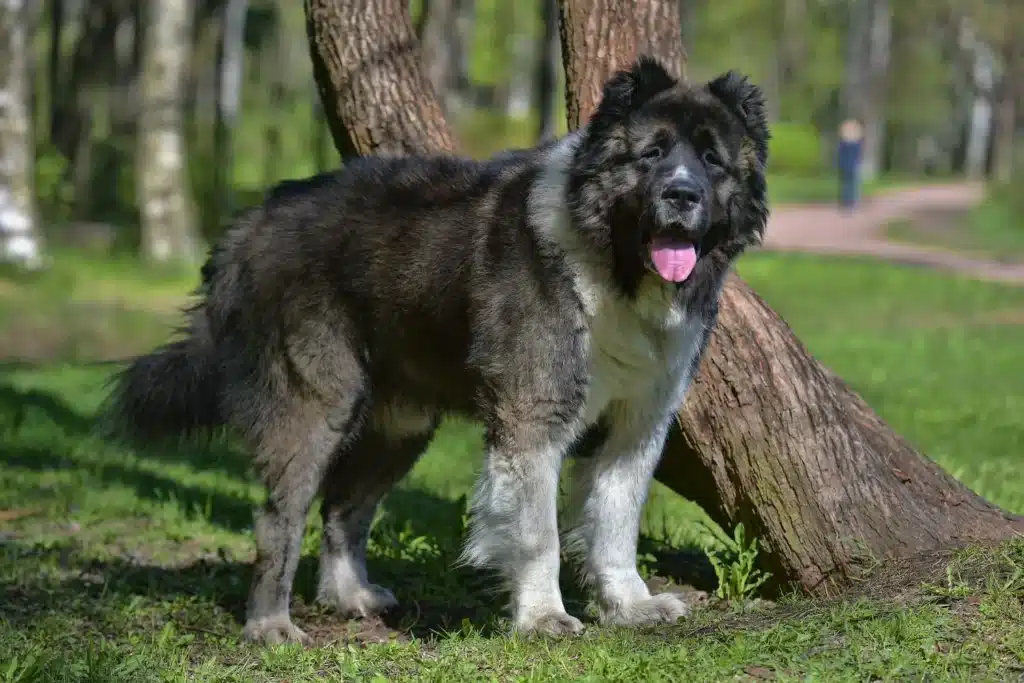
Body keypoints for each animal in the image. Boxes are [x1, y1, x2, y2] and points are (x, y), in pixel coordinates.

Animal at [101, 56, 770, 643]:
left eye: (711, 160)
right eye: (652, 153)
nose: (682, 195)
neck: (610, 262)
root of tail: (255, 219)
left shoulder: (636, 425)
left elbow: (616, 521)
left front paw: (630, 605)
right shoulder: (533, 418)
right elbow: (538, 534)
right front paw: (543, 618)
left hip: (401, 423)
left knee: (344, 508)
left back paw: (350, 598)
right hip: (313, 405)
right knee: (279, 519)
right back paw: (270, 626)